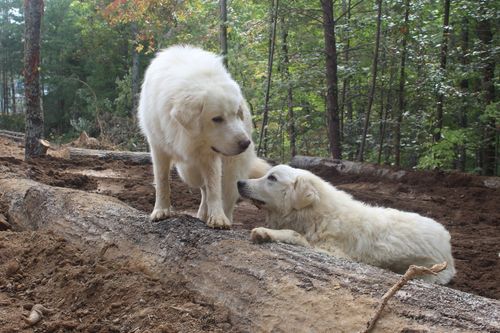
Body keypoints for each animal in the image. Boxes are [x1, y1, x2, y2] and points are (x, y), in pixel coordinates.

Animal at [137, 44, 270, 228]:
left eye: (236, 114)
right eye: (217, 119)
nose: (246, 143)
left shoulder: (211, 156)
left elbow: (214, 189)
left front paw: (218, 218)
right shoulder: (158, 148)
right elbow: (162, 182)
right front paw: (161, 211)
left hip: (230, 169)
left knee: (226, 194)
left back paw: (223, 216)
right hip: (188, 172)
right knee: (203, 188)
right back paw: (202, 214)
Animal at [238, 163, 458, 282]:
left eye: (272, 178)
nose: (239, 182)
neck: (316, 214)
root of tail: (447, 240)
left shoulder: (333, 251)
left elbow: (293, 234)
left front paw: (265, 233)